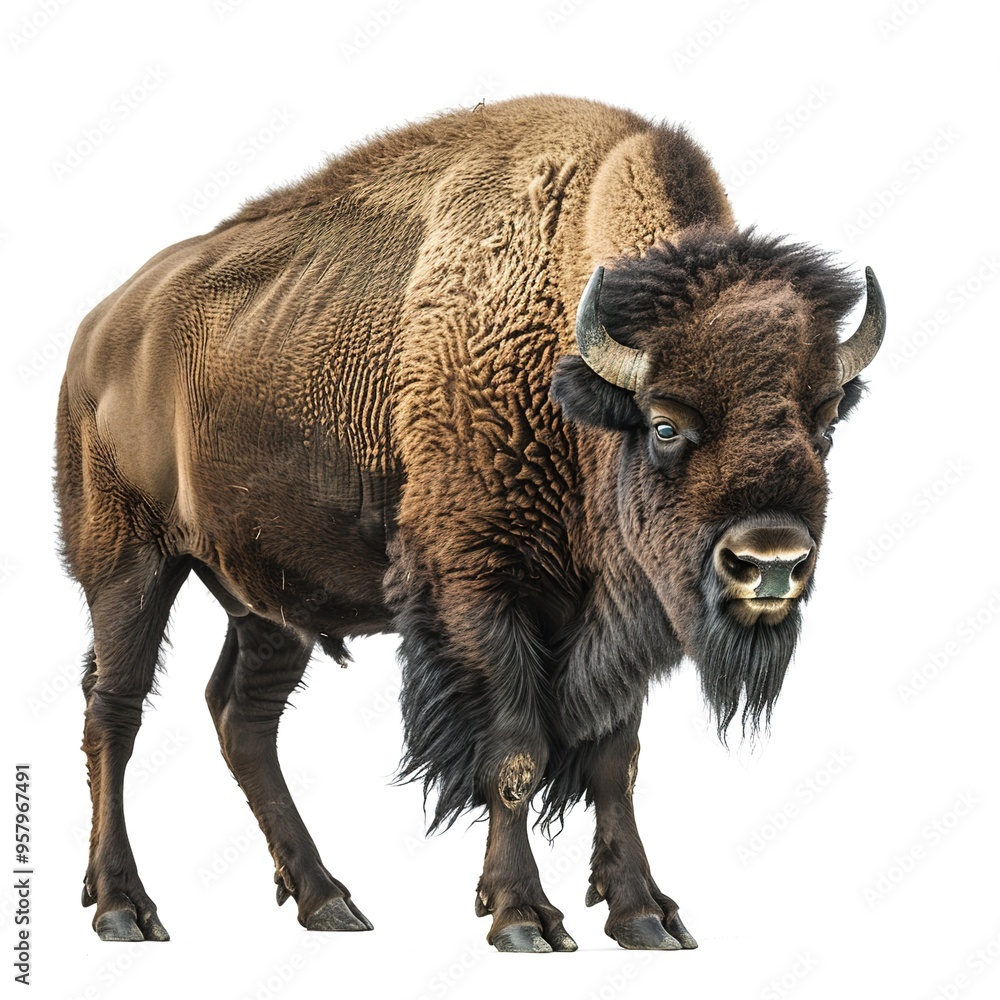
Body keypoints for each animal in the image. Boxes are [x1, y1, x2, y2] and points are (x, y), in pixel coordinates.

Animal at [55, 94, 884, 952]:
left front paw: (645, 915)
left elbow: (614, 760)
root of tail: (98, 333)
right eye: (664, 424)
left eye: (825, 421)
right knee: (114, 708)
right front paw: (523, 917)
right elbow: (515, 754)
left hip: (266, 605)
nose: (771, 562)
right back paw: (124, 906)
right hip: (129, 565)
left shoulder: (619, 617)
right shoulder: (478, 594)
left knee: (242, 718)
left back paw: (328, 901)